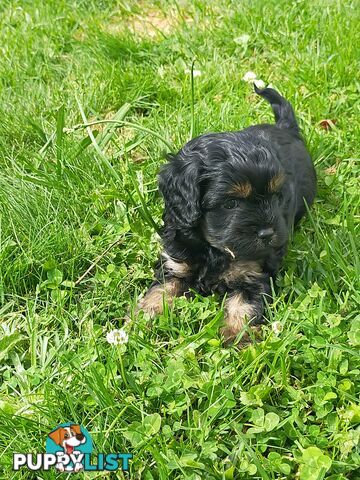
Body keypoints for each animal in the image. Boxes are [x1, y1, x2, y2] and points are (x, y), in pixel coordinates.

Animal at [138, 87, 316, 344]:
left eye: (276, 197)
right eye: (230, 203)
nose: (268, 234)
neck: (213, 249)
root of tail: (285, 127)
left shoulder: (254, 272)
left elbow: (243, 305)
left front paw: (237, 337)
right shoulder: (175, 260)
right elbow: (159, 290)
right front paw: (142, 319)